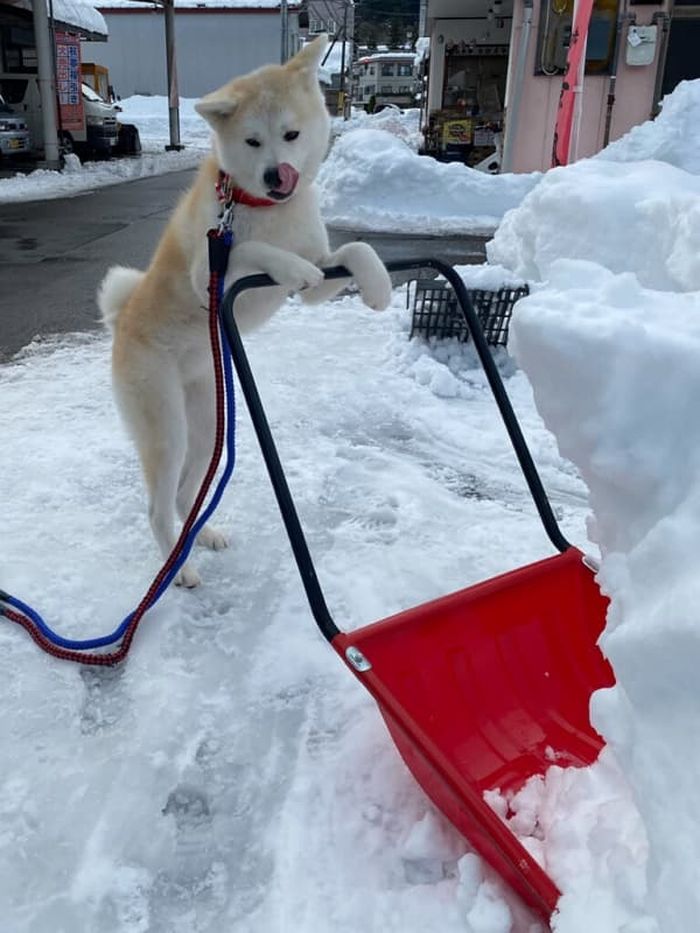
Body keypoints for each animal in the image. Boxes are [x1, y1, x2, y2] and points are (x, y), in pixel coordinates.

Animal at [97, 38, 394, 588]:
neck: (265, 209)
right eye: (253, 142)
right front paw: (291, 266)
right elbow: (252, 251)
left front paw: (379, 285)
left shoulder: (323, 269)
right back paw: (180, 569)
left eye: (291, 134)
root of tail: (121, 319)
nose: (279, 174)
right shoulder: (208, 272)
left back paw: (203, 536)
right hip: (166, 426)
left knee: (186, 494)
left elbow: (355, 250)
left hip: (208, 422)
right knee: (157, 507)